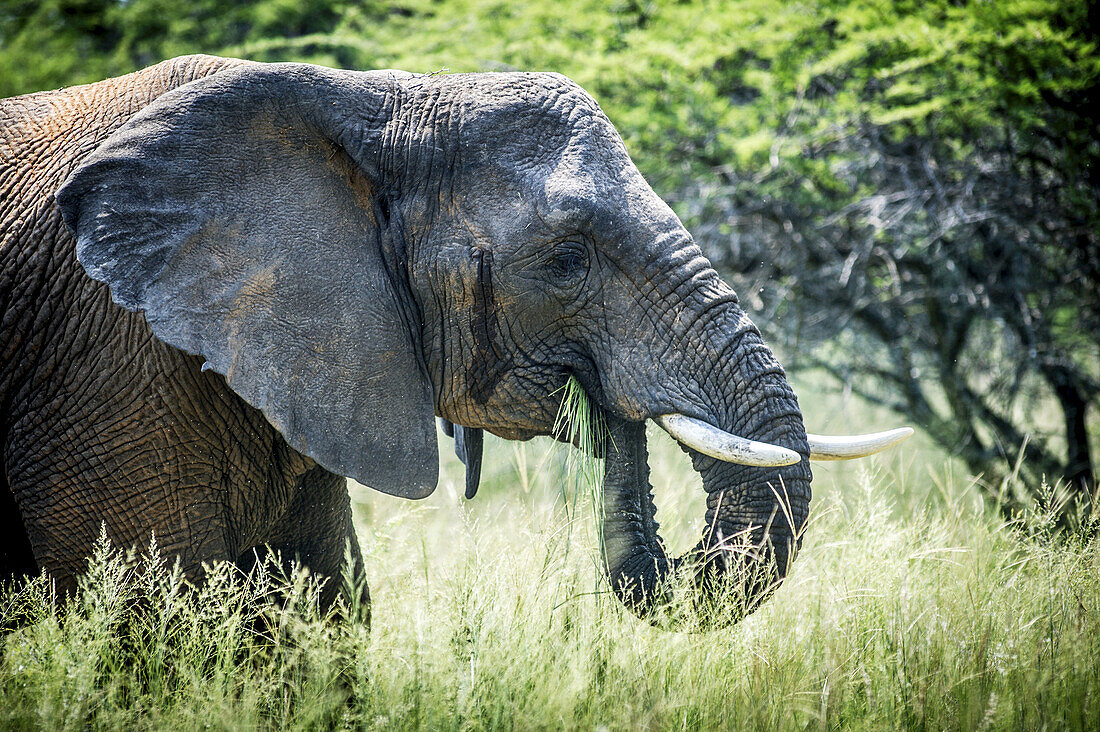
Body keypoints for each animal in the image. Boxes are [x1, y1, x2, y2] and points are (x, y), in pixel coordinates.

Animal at [2, 54, 910, 620]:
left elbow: (316, 623)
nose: (607, 401)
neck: (370, 99)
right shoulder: (105, 361)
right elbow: (157, 627)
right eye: (567, 261)